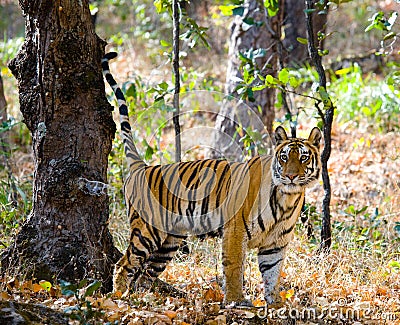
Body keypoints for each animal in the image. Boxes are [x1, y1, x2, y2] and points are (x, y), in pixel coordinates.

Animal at [101, 52, 322, 306]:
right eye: (284, 157)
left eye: (303, 157)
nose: (290, 175)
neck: (287, 198)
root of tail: (142, 167)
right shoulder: (235, 231)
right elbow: (234, 267)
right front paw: (236, 301)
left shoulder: (276, 244)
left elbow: (272, 274)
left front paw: (275, 303)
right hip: (147, 231)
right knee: (124, 264)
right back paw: (117, 298)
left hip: (168, 243)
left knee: (146, 273)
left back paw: (145, 300)